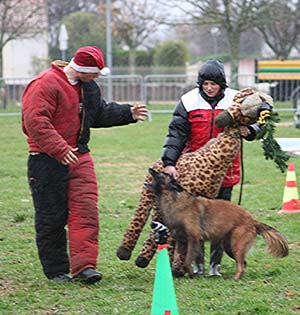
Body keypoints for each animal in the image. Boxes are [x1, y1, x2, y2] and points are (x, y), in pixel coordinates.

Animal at [148, 169, 288, 280]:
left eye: (162, 174)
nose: (150, 169)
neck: (174, 201)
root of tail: (253, 220)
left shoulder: (193, 239)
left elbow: (187, 261)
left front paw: (191, 275)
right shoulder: (182, 241)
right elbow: (181, 260)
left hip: (236, 245)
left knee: (241, 265)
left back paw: (235, 279)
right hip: (229, 247)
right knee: (244, 263)